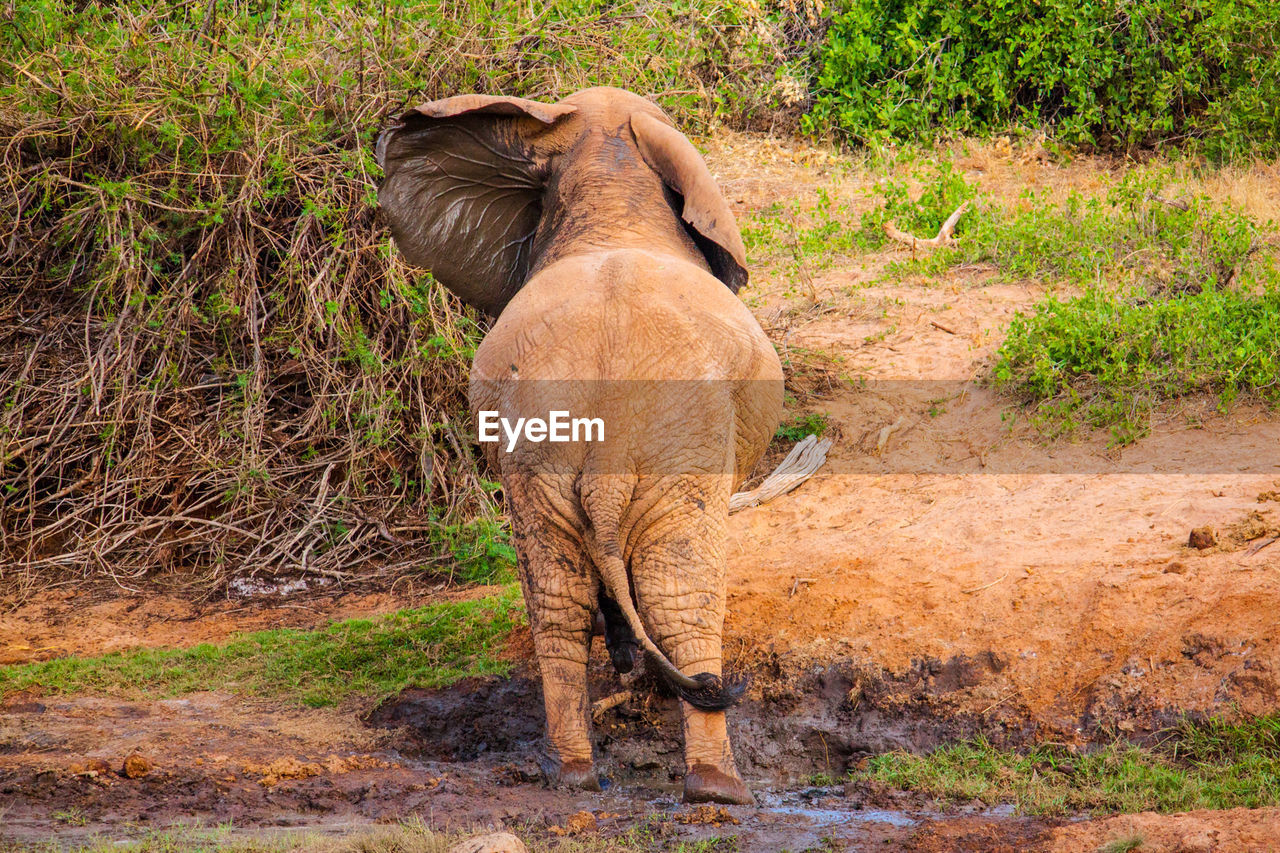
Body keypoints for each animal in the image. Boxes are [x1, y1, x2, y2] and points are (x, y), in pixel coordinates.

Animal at [373, 83, 783, 799]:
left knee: (556, 601)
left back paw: (571, 774)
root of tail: (609, 461)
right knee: (682, 593)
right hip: (684, 450)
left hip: (539, 458)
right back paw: (719, 788)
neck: (610, 180)